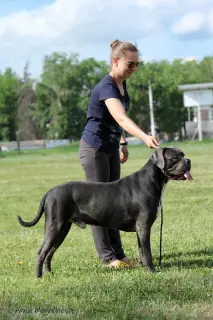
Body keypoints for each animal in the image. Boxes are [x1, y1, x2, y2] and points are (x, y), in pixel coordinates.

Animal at [17, 148, 192, 278]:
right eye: (175, 158)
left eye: (183, 154)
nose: (188, 161)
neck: (153, 180)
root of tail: (49, 192)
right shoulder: (144, 227)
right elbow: (147, 251)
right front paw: (152, 271)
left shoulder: (140, 229)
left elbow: (141, 250)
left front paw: (143, 267)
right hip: (55, 226)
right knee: (41, 252)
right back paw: (39, 277)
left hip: (63, 229)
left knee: (50, 252)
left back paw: (49, 273)